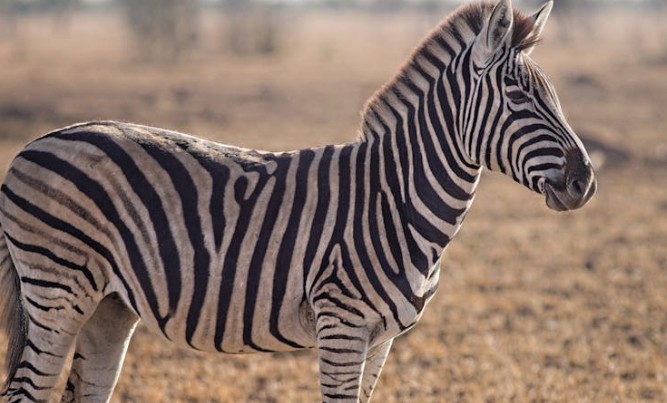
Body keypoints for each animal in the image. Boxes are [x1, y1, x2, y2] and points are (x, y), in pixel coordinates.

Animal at [0, 0, 595, 401]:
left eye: (553, 95)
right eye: (519, 96)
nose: (585, 181)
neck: (396, 200)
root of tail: (35, 143)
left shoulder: (381, 340)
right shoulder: (343, 323)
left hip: (108, 305)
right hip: (58, 291)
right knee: (25, 392)